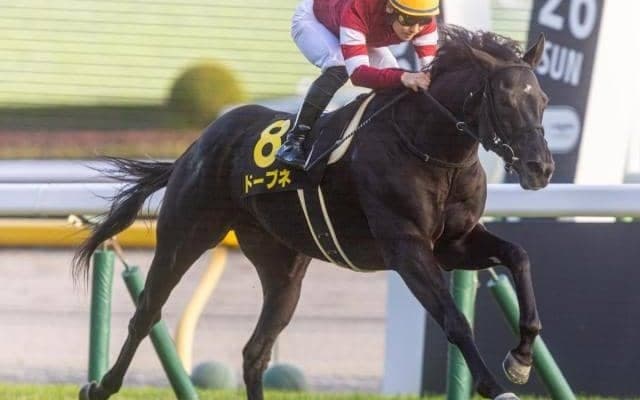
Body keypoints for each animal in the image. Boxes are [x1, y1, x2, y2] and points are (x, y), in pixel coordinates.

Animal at [74, 25, 554, 400]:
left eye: (544, 100)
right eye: (506, 102)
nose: (541, 167)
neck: (432, 149)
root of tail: (194, 148)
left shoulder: (453, 243)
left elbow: (520, 257)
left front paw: (521, 358)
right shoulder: (407, 247)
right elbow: (454, 319)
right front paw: (495, 385)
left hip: (282, 267)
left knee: (255, 352)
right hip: (185, 235)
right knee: (146, 314)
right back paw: (99, 386)